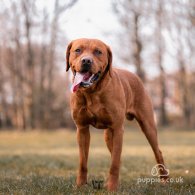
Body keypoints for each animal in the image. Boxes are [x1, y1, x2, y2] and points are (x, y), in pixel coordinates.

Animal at [65, 37, 168, 190]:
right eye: (78, 50)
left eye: (98, 52)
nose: (86, 61)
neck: (92, 92)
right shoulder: (82, 129)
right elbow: (83, 162)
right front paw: (80, 185)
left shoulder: (118, 129)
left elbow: (114, 163)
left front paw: (112, 188)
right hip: (108, 134)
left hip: (147, 125)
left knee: (157, 151)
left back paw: (164, 179)